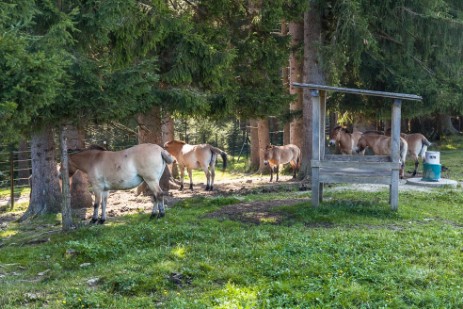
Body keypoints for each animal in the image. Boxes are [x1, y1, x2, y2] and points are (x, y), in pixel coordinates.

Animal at [294, 83, 424, 211]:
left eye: (336, 134)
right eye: (330, 134)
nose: (330, 143)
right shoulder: (345, 154)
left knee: (400, 164)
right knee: (401, 163)